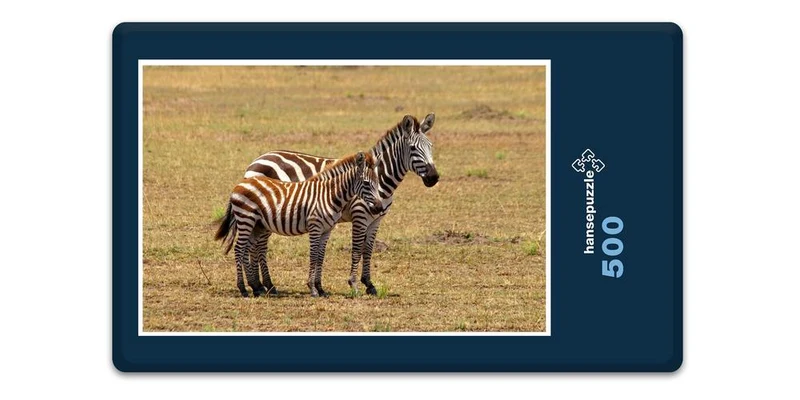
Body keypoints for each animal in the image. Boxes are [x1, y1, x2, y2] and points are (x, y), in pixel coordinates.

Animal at [215, 151, 383, 297]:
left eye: (377, 182)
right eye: (366, 183)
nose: (380, 208)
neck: (329, 194)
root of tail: (240, 183)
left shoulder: (326, 230)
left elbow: (320, 256)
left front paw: (320, 289)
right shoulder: (315, 226)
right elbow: (313, 255)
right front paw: (312, 289)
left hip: (256, 224)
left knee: (247, 249)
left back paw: (256, 288)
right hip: (246, 219)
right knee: (239, 249)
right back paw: (243, 289)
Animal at [243, 114, 439, 295]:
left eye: (431, 146)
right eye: (413, 148)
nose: (434, 178)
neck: (380, 179)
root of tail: (256, 160)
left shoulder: (376, 219)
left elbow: (368, 249)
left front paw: (369, 284)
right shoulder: (360, 215)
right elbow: (357, 249)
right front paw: (354, 283)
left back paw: (263, 285)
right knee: (258, 245)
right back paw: (263, 285)